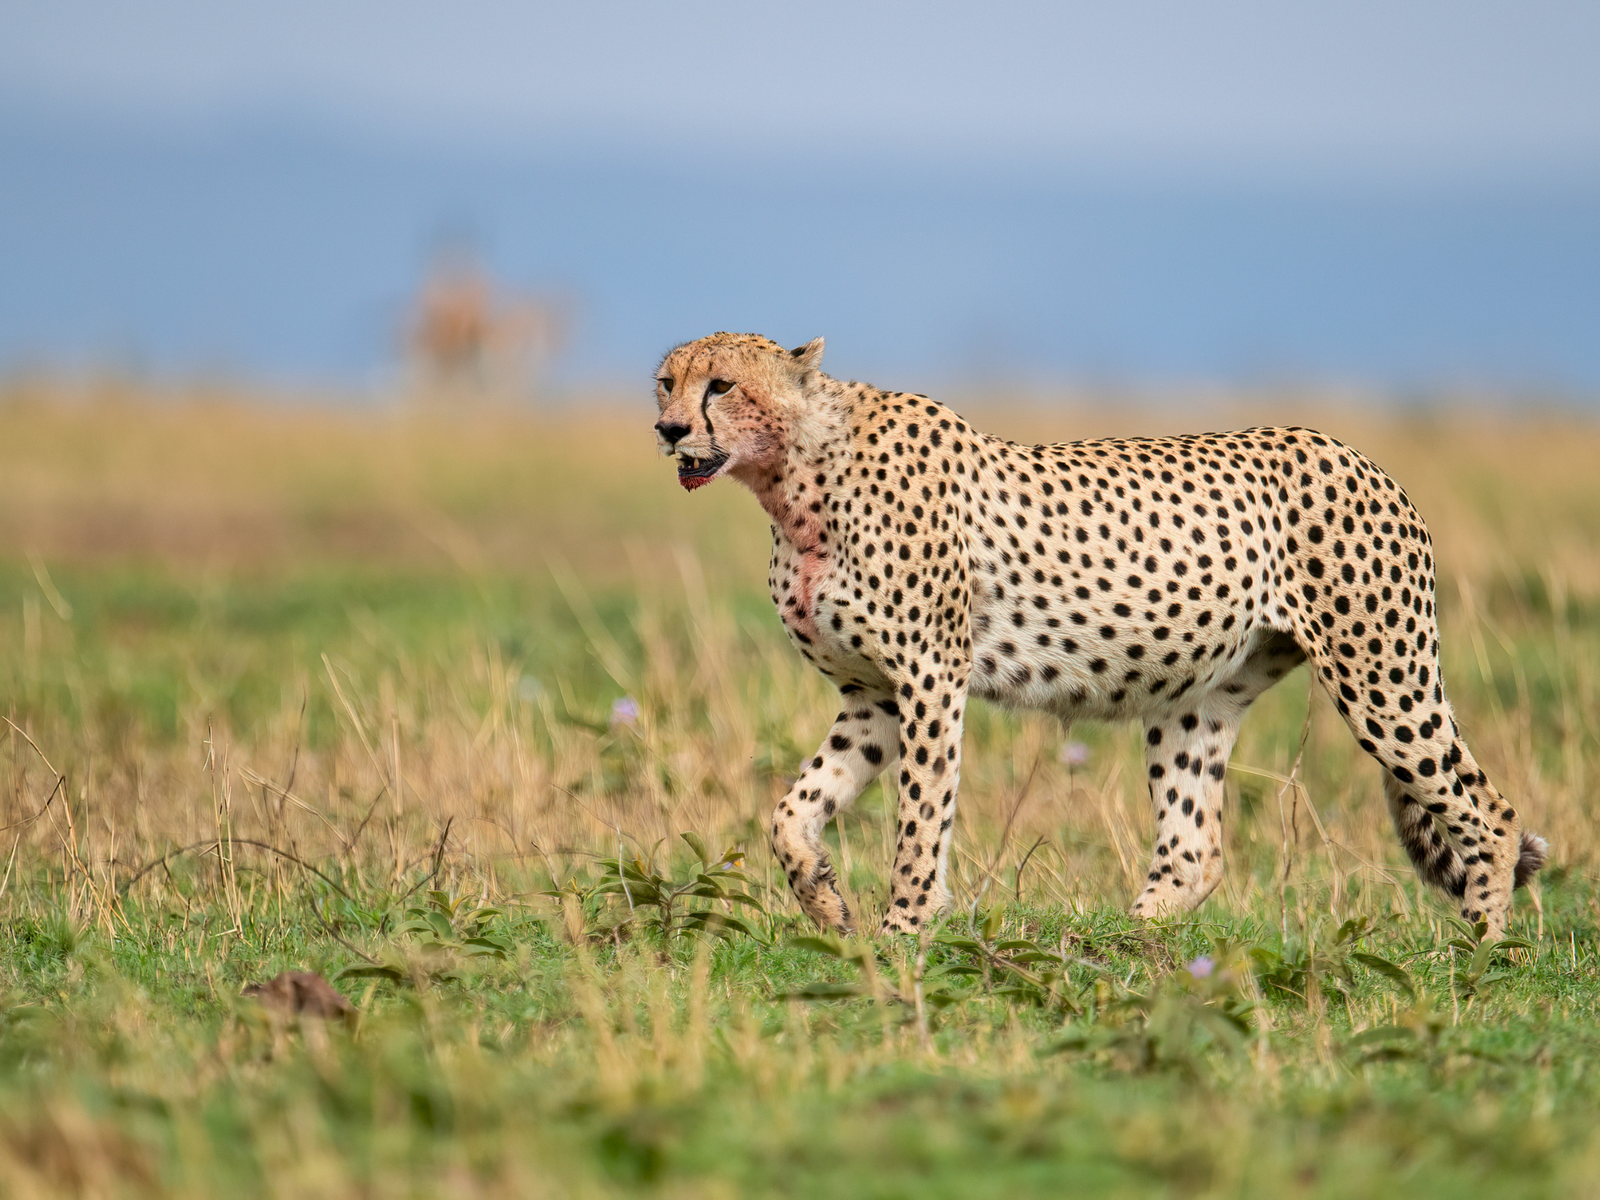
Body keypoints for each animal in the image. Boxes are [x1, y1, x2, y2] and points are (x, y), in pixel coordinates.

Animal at [653, 331, 1547, 939]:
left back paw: (1482, 948)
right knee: (1195, 848)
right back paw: (1131, 942)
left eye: (721, 386)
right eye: (666, 383)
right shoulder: (871, 695)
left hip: (1381, 675)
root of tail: (1358, 454)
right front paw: (827, 903)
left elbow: (920, 817)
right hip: (1199, 697)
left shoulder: (930, 679)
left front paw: (904, 929)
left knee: (1488, 810)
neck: (795, 474)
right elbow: (790, 811)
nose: (667, 430)